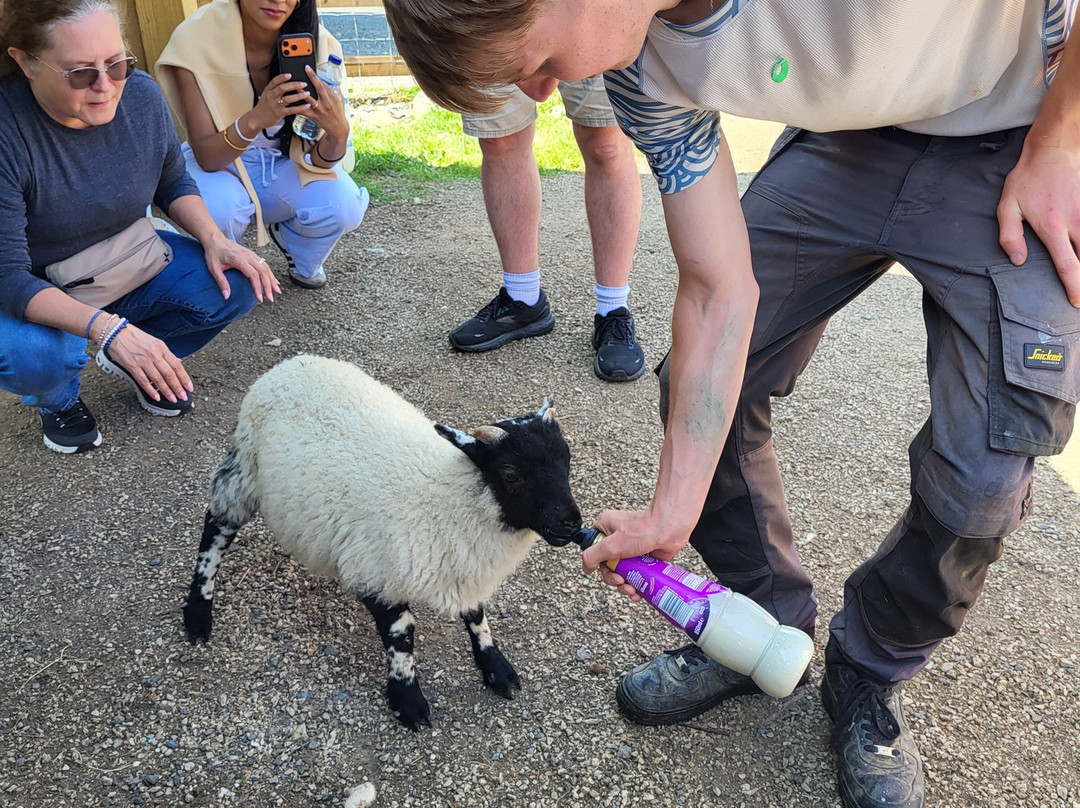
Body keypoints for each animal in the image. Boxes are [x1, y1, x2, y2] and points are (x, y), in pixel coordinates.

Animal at [182, 355, 582, 729]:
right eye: (511, 474)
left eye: (567, 460)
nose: (571, 523)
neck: (448, 498)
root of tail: (289, 364)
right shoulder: (377, 572)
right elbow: (401, 637)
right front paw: (408, 700)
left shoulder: (464, 565)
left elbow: (476, 615)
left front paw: (495, 666)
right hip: (243, 468)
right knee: (215, 526)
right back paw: (198, 612)